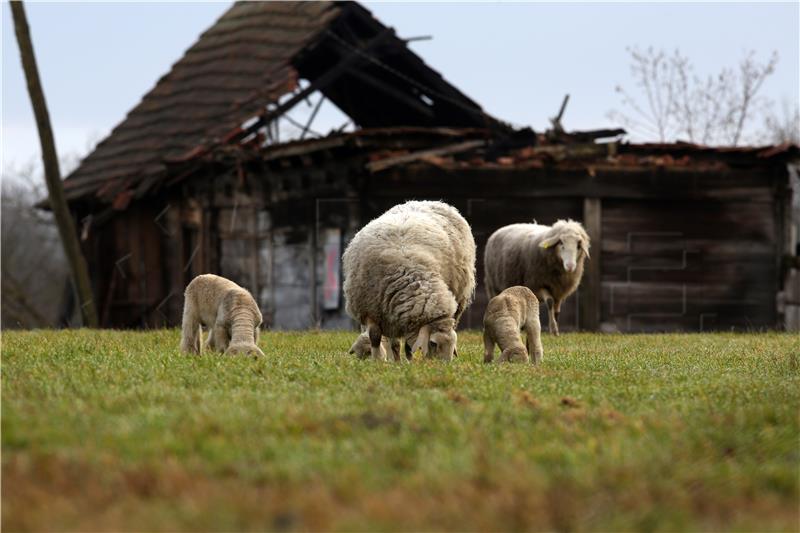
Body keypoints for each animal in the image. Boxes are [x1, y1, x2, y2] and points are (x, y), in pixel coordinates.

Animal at [342, 201, 476, 362]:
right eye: (433, 343)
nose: (444, 366)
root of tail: (434, 202)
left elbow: (408, 345)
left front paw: (408, 362)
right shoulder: (375, 311)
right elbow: (377, 337)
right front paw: (381, 361)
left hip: (460, 298)